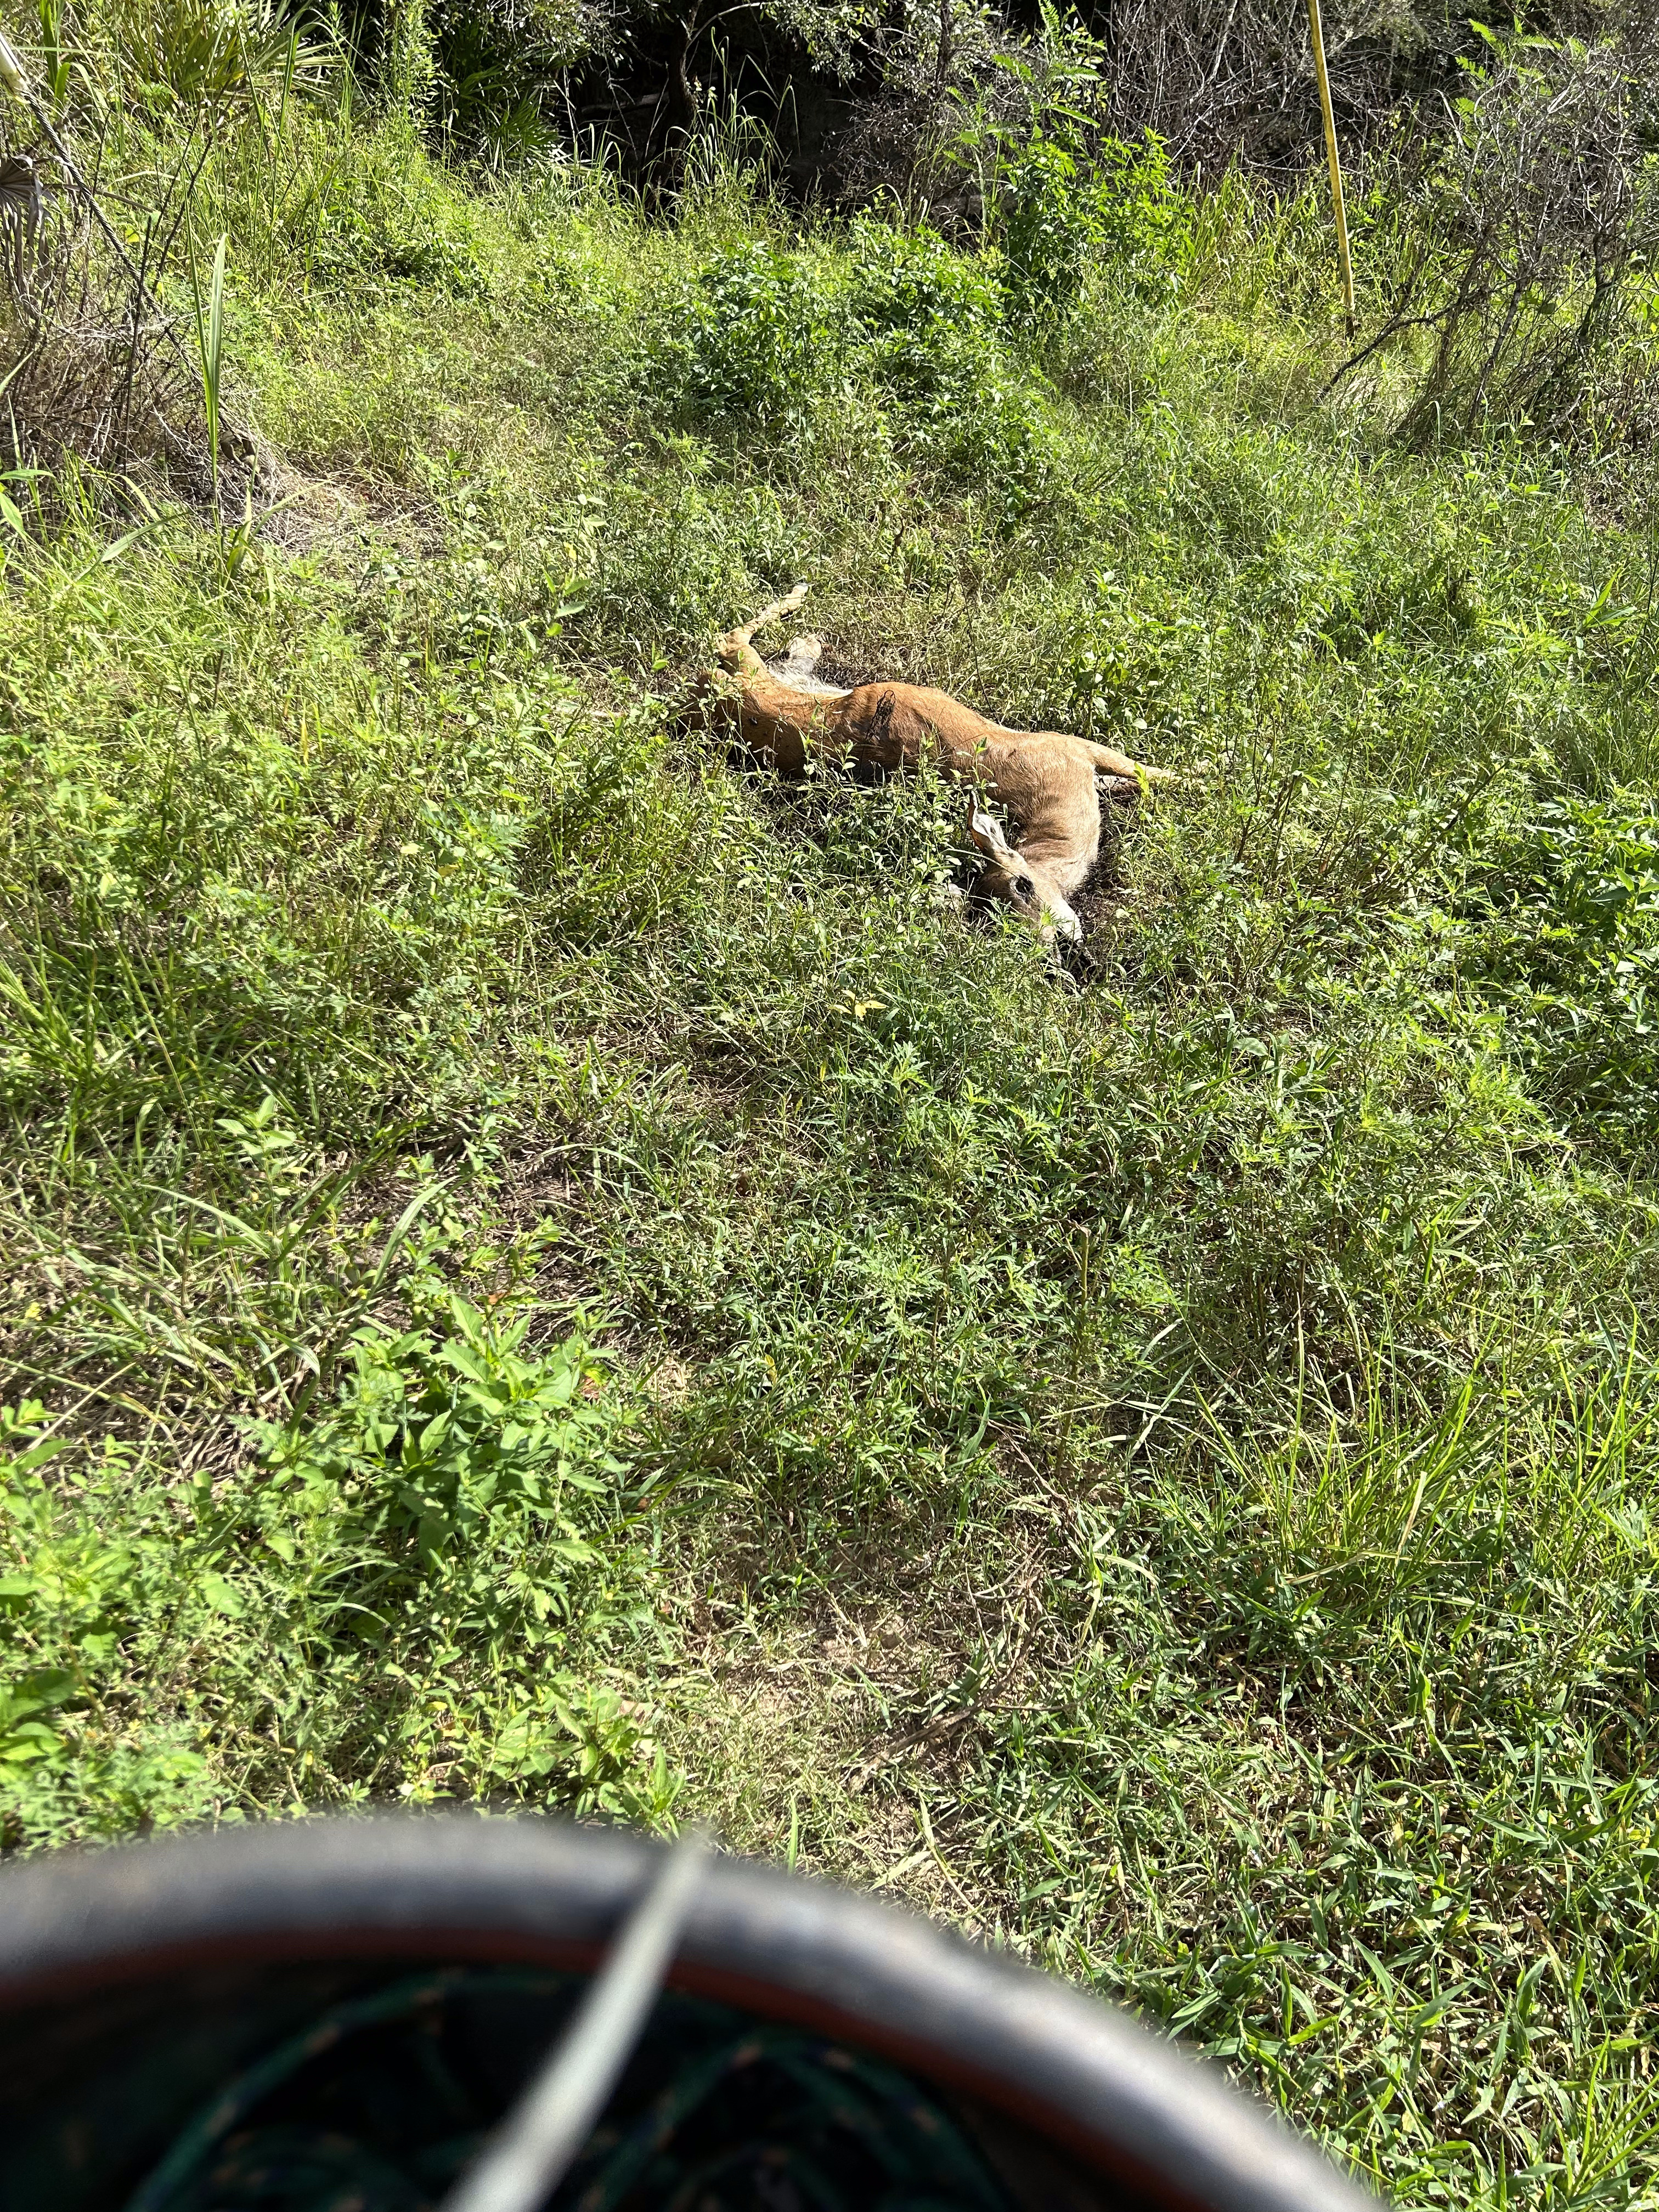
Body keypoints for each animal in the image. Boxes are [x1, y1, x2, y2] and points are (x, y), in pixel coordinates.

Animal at [695, 584, 1186, 946]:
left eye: (1023, 885)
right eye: (999, 910)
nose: (1057, 940)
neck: (1059, 813)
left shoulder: (1074, 750)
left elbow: (1148, 775)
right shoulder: (1072, 751)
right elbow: (1148, 775)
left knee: (736, 646)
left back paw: (804, 629)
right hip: (763, 685)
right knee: (728, 641)